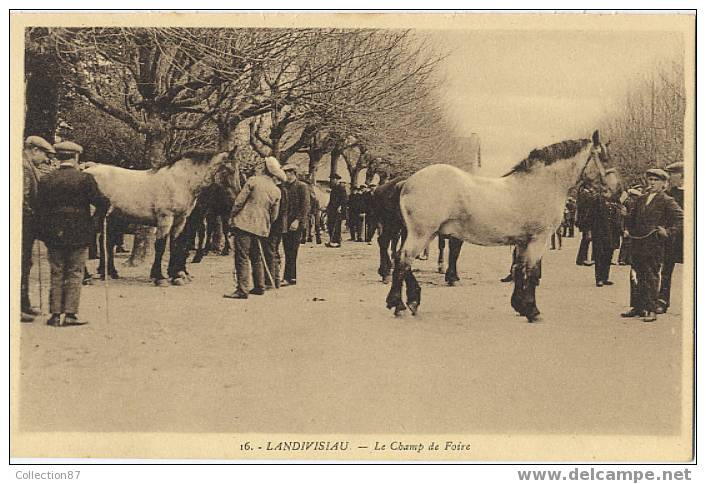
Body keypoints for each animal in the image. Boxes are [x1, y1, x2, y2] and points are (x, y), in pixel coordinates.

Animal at [85, 151, 234, 286]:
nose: (232, 202)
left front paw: (176, 276)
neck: (179, 182)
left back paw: (108, 273)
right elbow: (161, 246)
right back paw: (89, 276)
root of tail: (87, 169)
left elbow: (176, 244)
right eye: (229, 170)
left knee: (105, 241)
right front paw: (160, 277)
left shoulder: (180, 221)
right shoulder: (165, 219)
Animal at [382, 130, 608, 324]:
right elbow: (532, 271)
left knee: (402, 260)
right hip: (422, 234)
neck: (539, 186)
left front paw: (519, 305)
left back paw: (410, 300)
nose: (613, 190)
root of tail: (407, 182)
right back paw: (400, 304)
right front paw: (532, 310)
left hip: (420, 234)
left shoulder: (522, 242)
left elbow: (518, 268)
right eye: (605, 158)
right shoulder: (538, 240)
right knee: (403, 260)